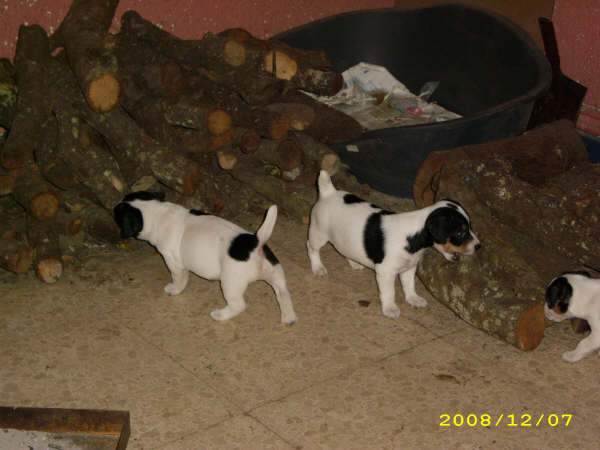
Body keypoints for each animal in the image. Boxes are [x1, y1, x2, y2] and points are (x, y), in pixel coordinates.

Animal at [113, 192, 298, 326]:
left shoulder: (174, 264)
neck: (157, 212)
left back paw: (220, 315)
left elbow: (179, 280)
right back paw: (288, 317)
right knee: (283, 293)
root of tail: (256, 243)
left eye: (118, 215)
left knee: (238, 305)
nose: (115, 205)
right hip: (275, 273)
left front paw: (173, 290)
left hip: (230, 283)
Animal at [308, 171, 480, 318]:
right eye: (460, 233)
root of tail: (328, 192)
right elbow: (389, 292)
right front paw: (390, 308)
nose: (479, 246)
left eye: (470, 227)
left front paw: (413, 299)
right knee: (311, 247)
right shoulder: (385, 272)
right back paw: (318, 268)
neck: (414, 237)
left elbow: (409, 285)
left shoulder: (409, 268)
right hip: (318, 234)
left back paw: (355, 263)